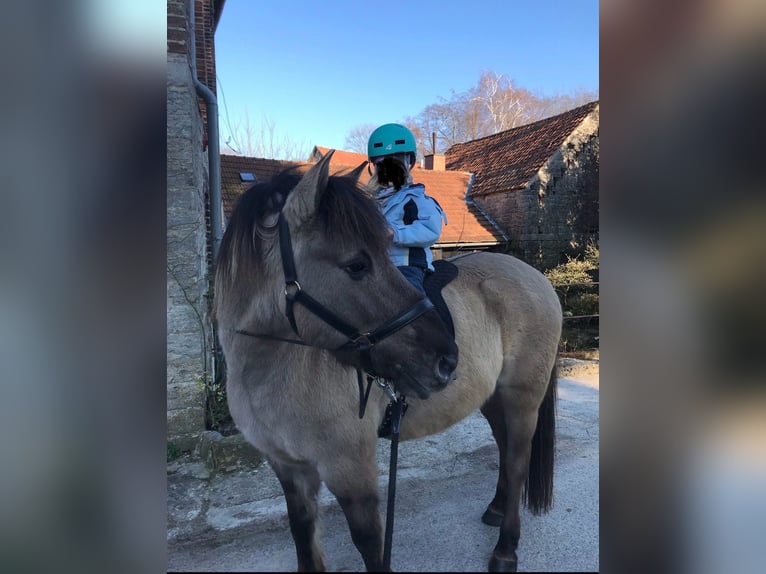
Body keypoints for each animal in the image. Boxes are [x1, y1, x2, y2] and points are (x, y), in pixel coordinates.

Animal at [214, 151, 564, 572]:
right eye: (356, 265)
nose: (447, 361)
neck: (271, 368)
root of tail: (538, 279)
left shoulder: (351, 469)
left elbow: (369, 543)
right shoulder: (288, 468)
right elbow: (302, 531)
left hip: (521, 398)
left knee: (516, 459)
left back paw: (506, 549)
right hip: (493, 398)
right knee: (505, 449)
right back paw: (496, 509)